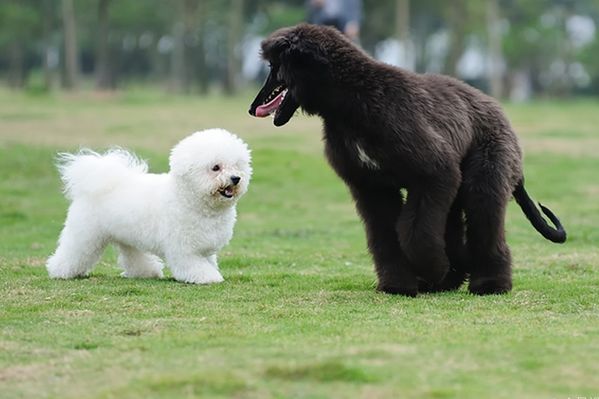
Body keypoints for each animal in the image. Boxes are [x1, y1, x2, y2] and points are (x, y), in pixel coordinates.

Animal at [46, 128, 251, 284]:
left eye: (237, 165)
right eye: (216, 167)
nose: (236, 178)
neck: (189, 199)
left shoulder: (203, 248)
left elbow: (208, 262)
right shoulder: (183, 249)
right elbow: (194, 266)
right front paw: (209, 278)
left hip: (126, 236)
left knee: (133, 255)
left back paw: (146, 272)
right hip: (85, 234)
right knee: (74, 252)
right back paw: (60, 271)